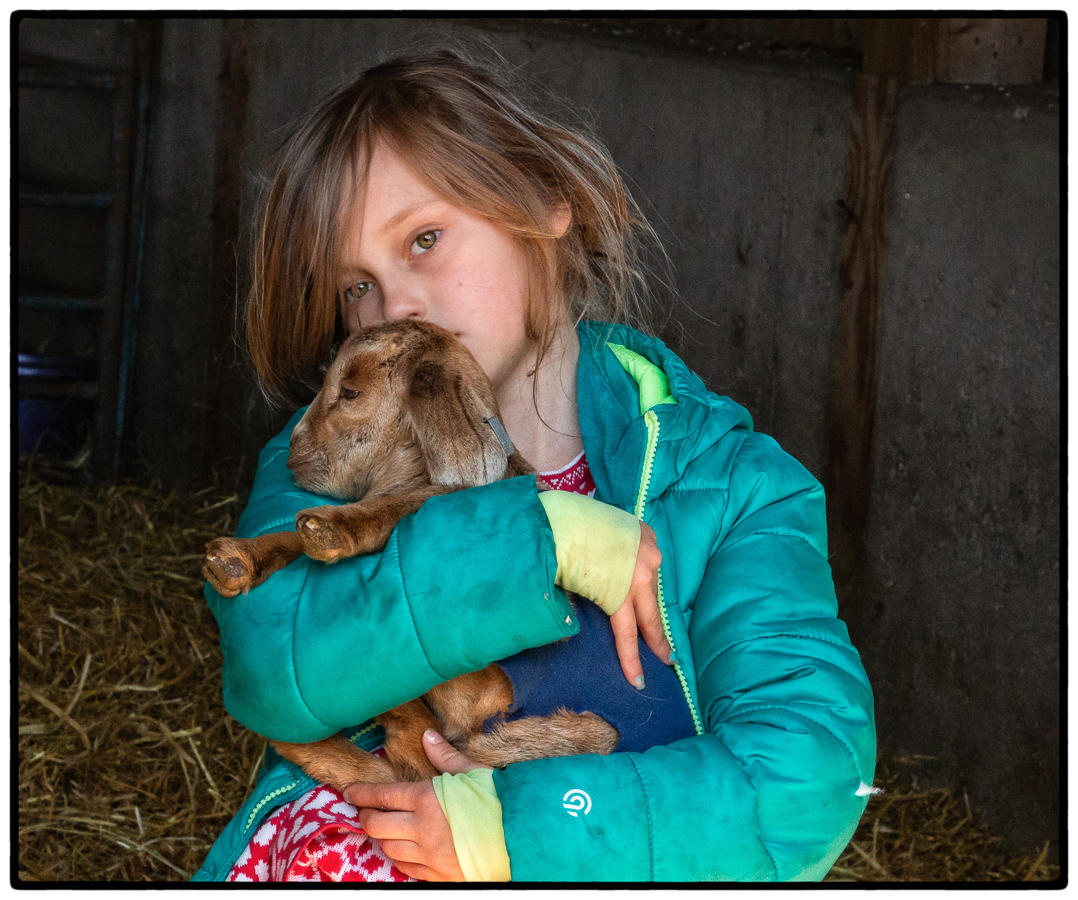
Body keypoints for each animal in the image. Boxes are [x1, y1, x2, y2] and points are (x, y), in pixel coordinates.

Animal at [203, 321, 616, 788]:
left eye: (350, 393)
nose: (293, 450)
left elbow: (411, 503)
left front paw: (328, 529)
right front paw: (234, 562)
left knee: (417, 757)